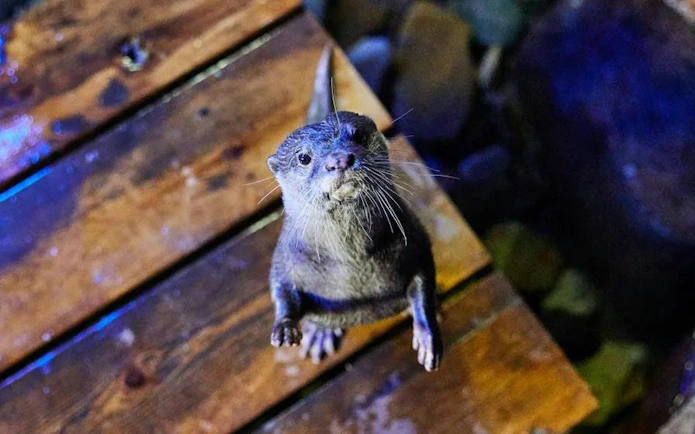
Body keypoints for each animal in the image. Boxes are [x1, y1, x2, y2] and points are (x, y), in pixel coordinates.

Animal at [267, 111, 442, 371]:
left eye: (357, 135)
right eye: (303, 157)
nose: (338, 159)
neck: (353, 267)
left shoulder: (415, 241)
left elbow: (424, 282)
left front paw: (428, 338)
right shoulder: (286, 257)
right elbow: (281, 286)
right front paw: (285, 327)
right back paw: (319, 334)